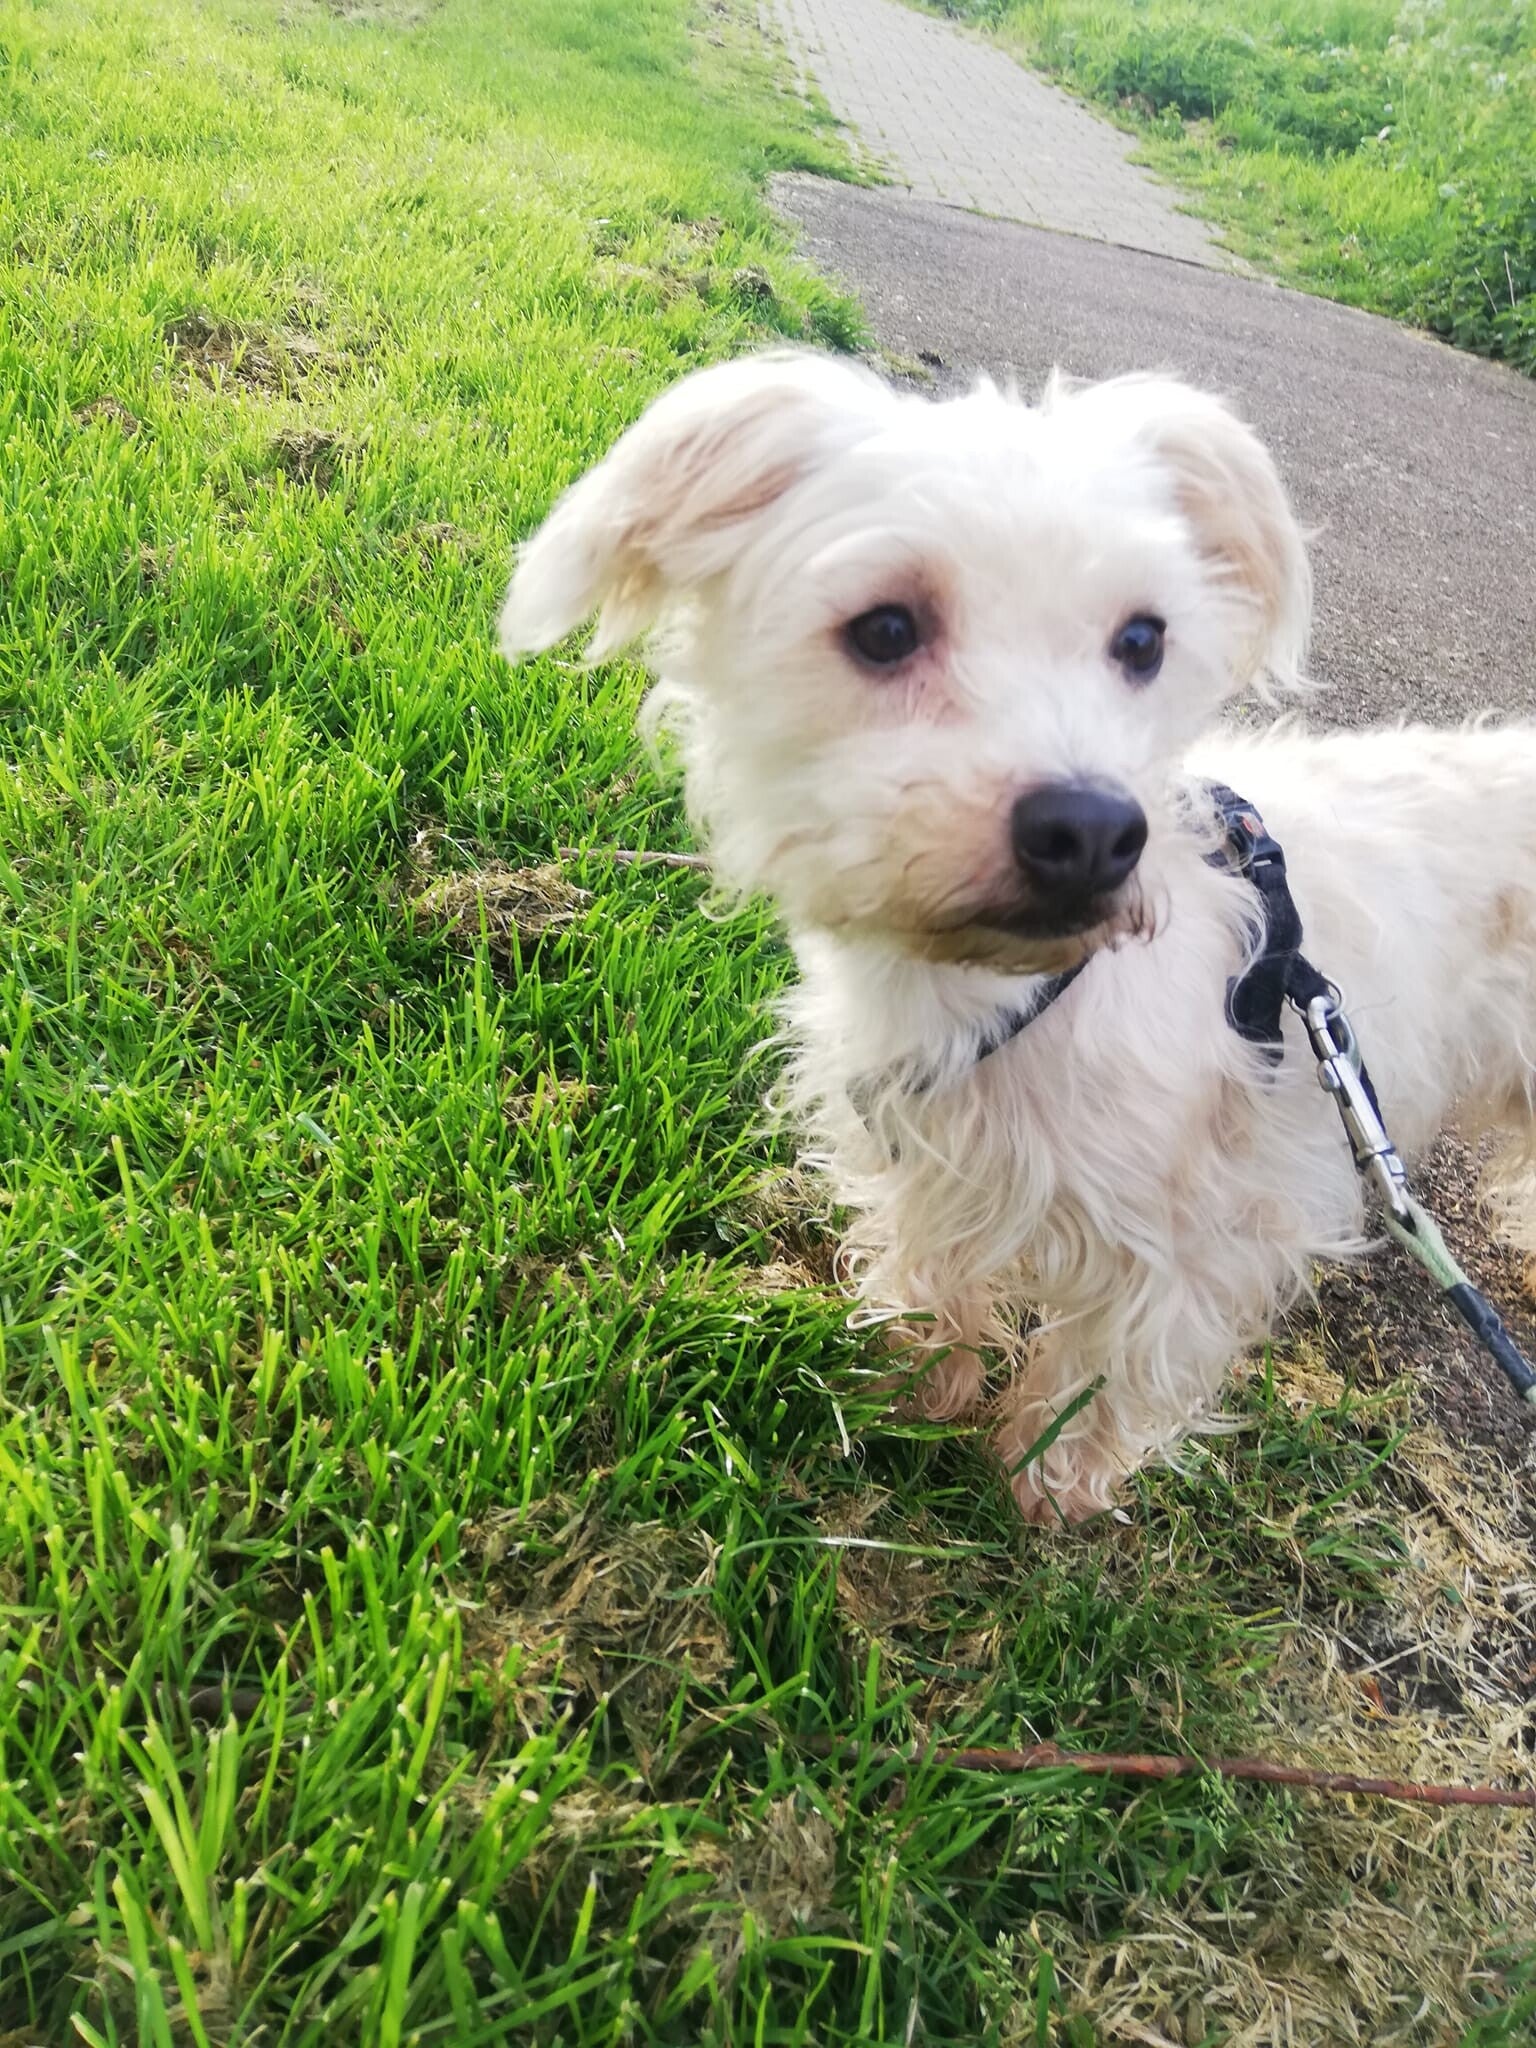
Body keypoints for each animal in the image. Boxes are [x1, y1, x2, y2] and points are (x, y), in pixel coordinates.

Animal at [499, 349, 1536, 1523]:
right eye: (885, 628)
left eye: (1144, 639)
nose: (1091, 832)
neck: (1015, 994)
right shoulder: (926, 1147)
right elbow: (932, 1268)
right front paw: (915, 1376)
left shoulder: (1213, 1224)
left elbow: (1120, 1356)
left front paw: (1053, 1475)